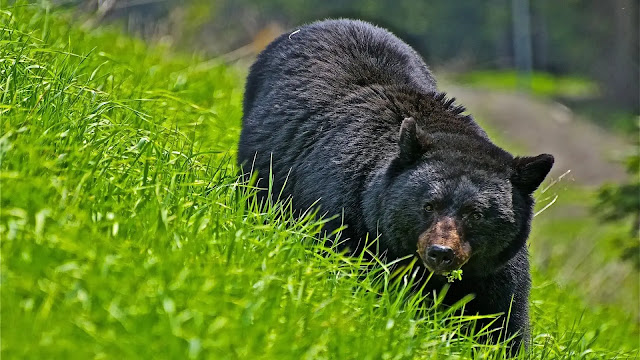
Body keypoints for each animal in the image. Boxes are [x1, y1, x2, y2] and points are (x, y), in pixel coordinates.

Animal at [238, 19, 552, 354]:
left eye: (476, 214)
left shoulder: (495, 271)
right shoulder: (346, 219)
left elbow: (503, 320)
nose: (441, 253)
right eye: (428, 205)